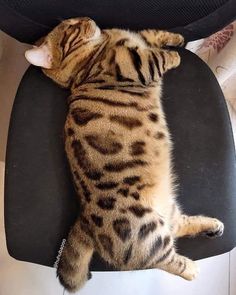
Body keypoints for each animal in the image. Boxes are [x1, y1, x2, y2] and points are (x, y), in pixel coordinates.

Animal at [24, 17, 224, 294]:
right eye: (71, 28)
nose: (87, 19)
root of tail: (84, 219)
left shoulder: (141, 39)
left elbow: (153, 34)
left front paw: (176, 39)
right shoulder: (139, 64)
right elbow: (159, 56)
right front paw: (175, 56)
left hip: (166, 210)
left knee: (177, 226)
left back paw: (212, 227)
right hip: (145, 230)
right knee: (161, 258)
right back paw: (191, 269)